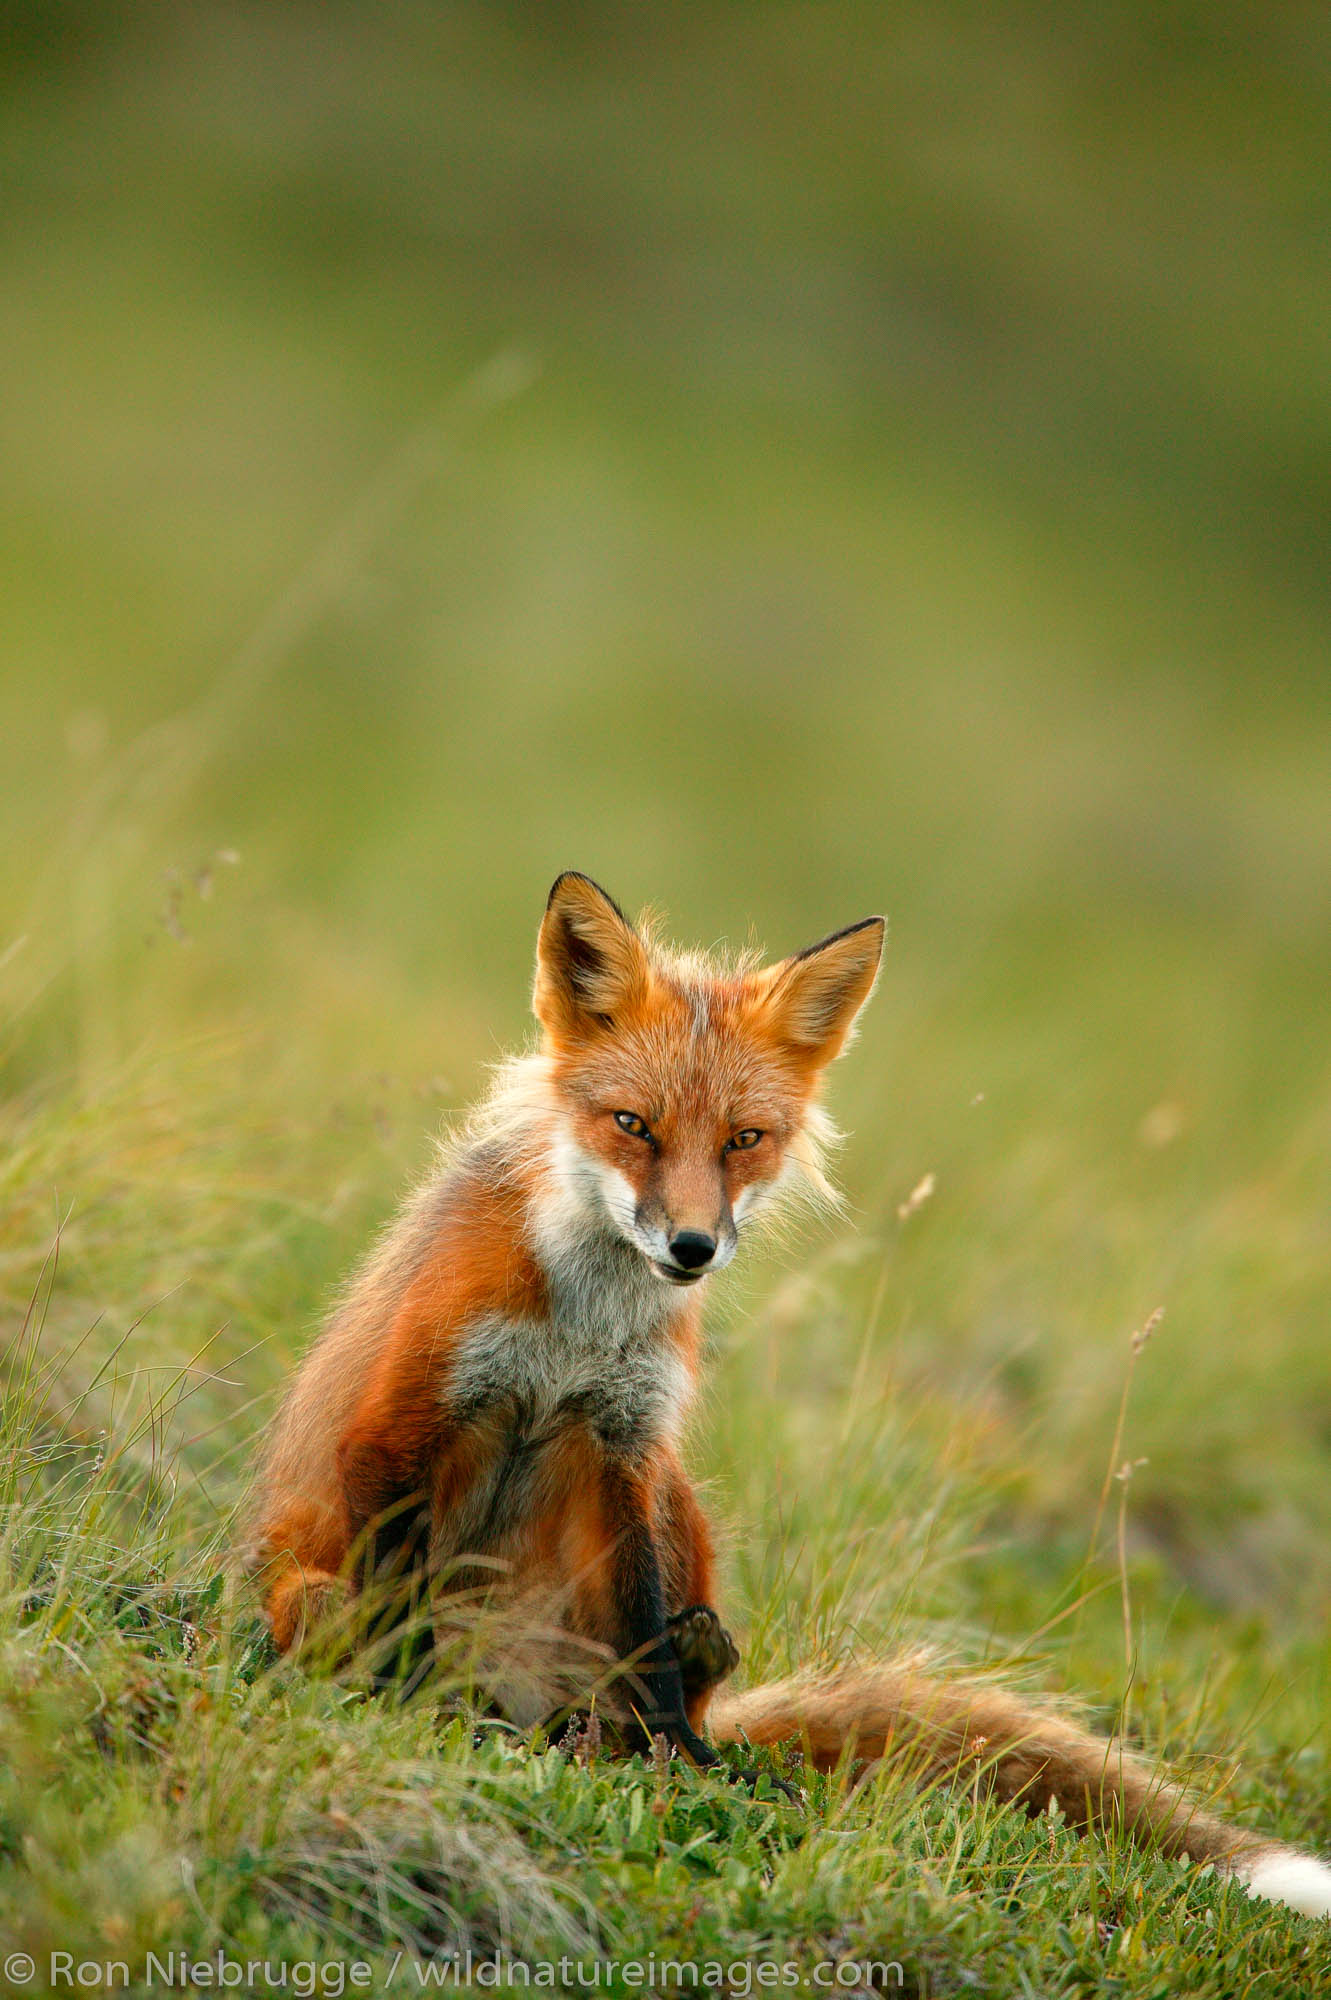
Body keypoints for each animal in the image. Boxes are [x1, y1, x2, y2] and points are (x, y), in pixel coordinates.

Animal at [245, 872, 1327, 1920]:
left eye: (742, 1138)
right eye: (632, 1126)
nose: (690, 1247)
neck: (580, 1326)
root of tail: (514, 1691)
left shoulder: (626, 1439)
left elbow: (641, 1626)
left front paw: (678, 1760)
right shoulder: (400, 1424)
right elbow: (401, 1608)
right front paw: (405, 1719)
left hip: (675, 1499)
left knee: (667, 1666)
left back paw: (666, 1704)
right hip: (314, 1593)